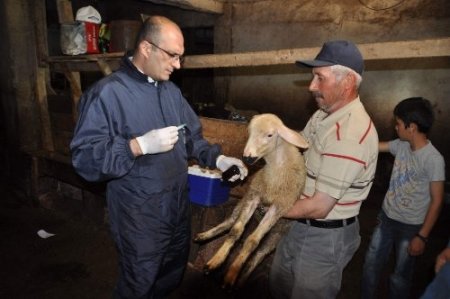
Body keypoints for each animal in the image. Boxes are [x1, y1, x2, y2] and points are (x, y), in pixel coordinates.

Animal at [193, 114, 310, 288]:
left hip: (278, 233)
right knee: (230, 222)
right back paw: (204, 236)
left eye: (270, 135)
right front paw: (216, 261)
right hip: (242, 202)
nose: (246, 157)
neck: (277, 169)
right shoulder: (254, 196)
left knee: (259, 255)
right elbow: (236, 230)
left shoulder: (278, 208)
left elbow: (252, 242)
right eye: (249, 132)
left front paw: (232, 273)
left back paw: (243, 278)